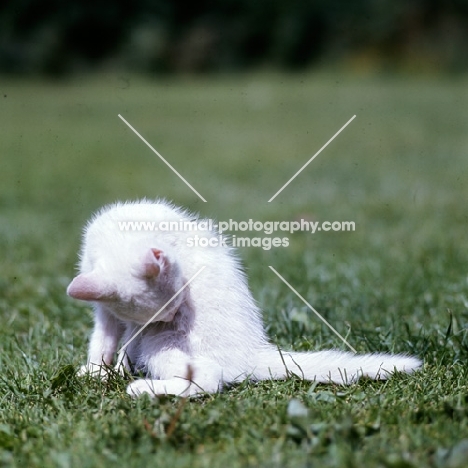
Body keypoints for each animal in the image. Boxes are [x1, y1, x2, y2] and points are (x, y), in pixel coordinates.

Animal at [67, 199, 422, 396]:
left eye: (178, 303)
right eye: (166, 310)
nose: (171, 317)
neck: (119, 238)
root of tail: (253, 353)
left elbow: (124, 341)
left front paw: (116, 369)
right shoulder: (107, 310)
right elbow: (103, 339)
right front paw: (98, 370)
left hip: (162, 344)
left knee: (209, 379)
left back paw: (144, 390)